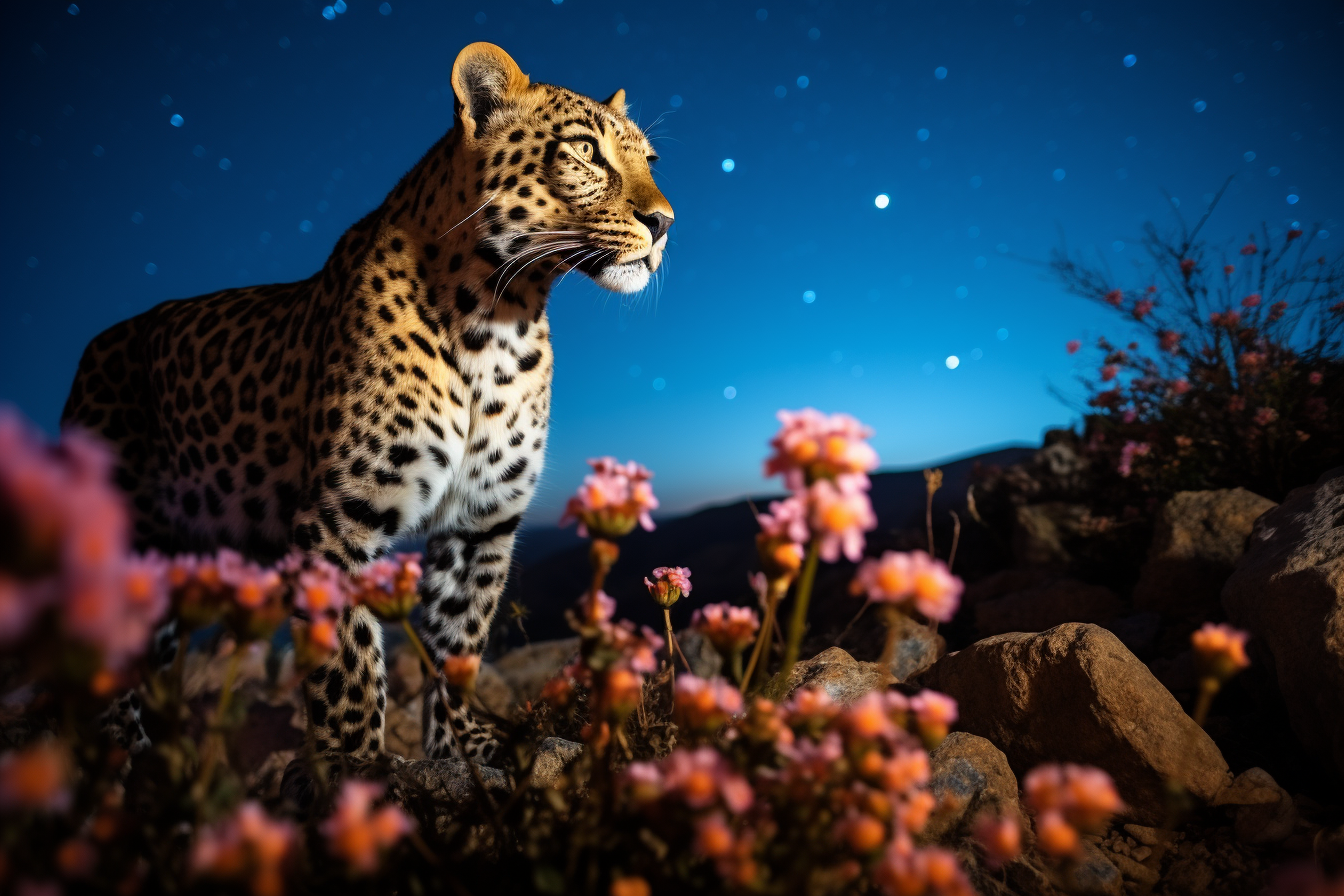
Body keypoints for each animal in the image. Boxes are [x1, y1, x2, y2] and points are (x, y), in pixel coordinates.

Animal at [61, 43, 672, 763]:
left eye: (650, 160)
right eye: (584, 150)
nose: (665, 223)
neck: (501, 320)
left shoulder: (483, 521)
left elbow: (459, 641)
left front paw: (460, 748)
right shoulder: (338, 524)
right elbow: (346, 666)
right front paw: (354, 768)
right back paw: (116, 756)